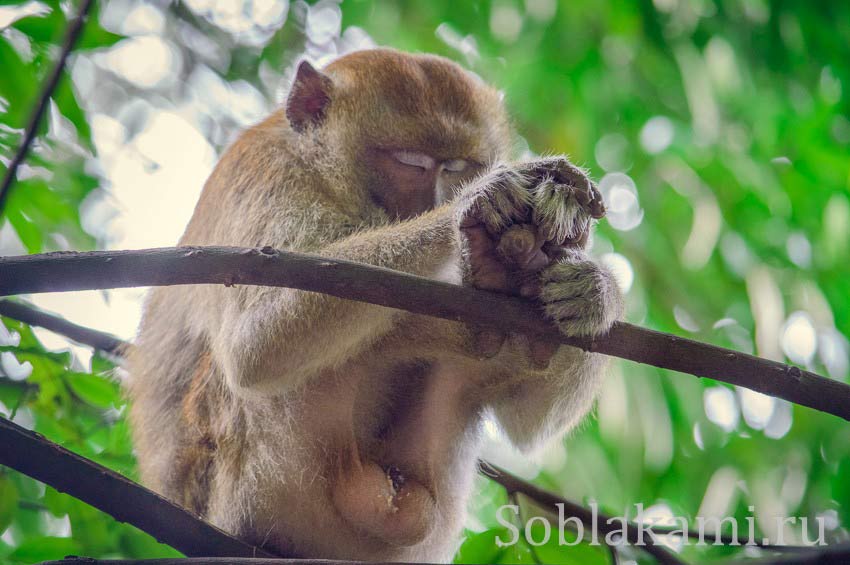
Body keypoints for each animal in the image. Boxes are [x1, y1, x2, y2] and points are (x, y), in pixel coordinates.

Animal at [129, 48, 624, 560]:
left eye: (457, 166)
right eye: (410, 163)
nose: (436, 199)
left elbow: (528, 418)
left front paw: (593, 289)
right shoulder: (264, 173)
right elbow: (256, 341)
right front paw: (475, 202)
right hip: (246, 483)